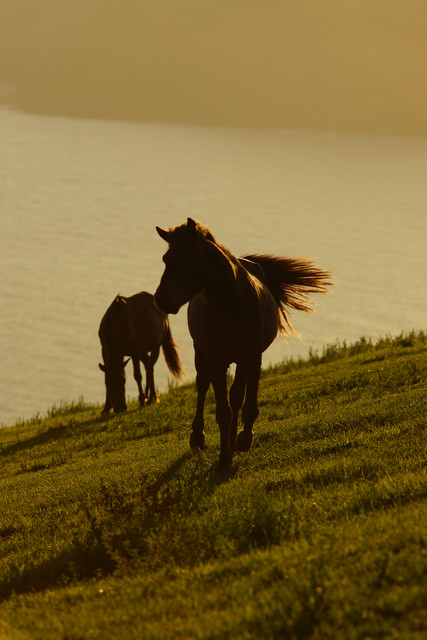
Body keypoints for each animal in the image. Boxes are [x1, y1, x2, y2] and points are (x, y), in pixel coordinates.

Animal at [154, 218, 333, 476]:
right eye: (166, 259)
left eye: (189, 256)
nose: (161, 299)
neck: (234, 306)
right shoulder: (217, 361)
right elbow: (222, 411)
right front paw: (223, 459)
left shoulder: (253, 357)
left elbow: (246, 405)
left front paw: (244, 439)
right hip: (201, 353)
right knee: (202, 386)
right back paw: (198, 437)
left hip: (240, 360)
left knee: (236, 394)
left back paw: (232, 439)